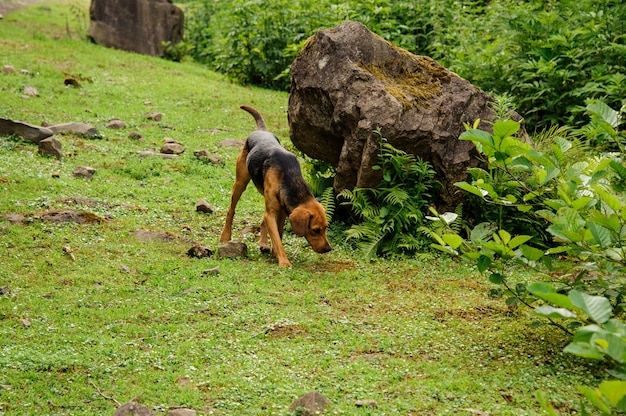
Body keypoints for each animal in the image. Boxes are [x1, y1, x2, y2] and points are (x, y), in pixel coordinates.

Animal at [218, 104, 330, 266]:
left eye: (326, 227)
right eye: (315, 230)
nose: (328, 249)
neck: (288, 178)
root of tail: (262, 131)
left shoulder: (283, 212)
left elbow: (279, 234)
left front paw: (274, 253)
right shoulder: (272, 213)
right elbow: (277, 239)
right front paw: (284, 262)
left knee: (262, 220)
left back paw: (264, 243)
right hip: (240, 183)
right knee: (231, 211)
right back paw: (225, 236)